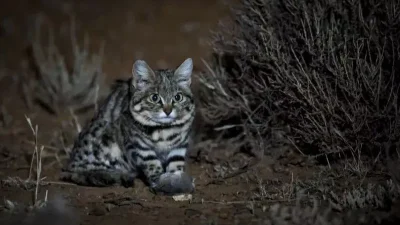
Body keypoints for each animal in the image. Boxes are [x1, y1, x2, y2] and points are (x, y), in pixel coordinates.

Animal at [60, 58, 195, 195]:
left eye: (178, 97)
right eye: (154, 97)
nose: (168, 111)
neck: (164, 130)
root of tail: (69, 165)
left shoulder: (179, 146)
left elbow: (176, 164)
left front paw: (176, 180)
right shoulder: (139, 146)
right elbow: (152, 163)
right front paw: (159, 181)